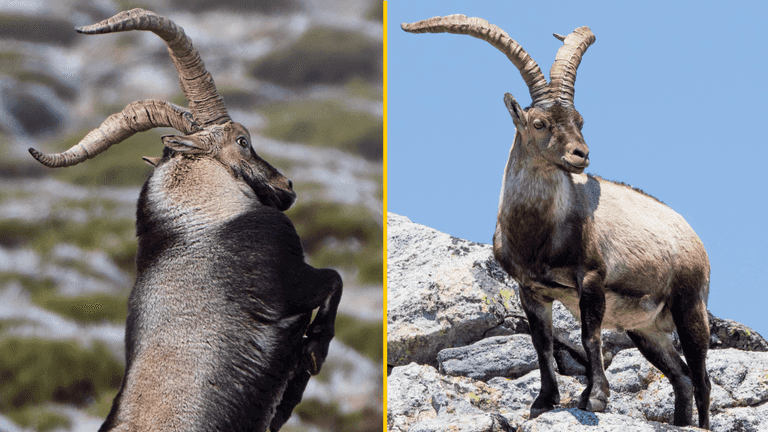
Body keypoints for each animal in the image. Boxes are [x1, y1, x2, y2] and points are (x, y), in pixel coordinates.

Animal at [29, 9, 342, 432]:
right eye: (242, 140)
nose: (286, 186)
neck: (194, 221)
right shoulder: (288, 279)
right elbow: (332, 281)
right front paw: (312, 353)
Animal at [403, 15, 711, 429]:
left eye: (579, 119)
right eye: (538, 122)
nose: (581, 154)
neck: (539, 234)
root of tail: (692, 235)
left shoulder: (591, 278)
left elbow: (589, 336)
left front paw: (594, 397)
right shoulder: (531, 288)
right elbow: (542, 343)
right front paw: (544, 401)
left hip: (689, 304)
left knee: (701, 377)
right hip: (645, 328)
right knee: (681, 377)